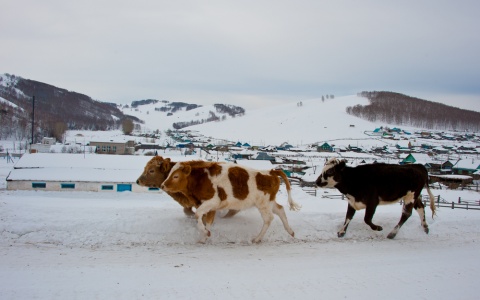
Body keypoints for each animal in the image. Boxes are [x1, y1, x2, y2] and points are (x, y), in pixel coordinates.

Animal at [163, 161, 302, 243]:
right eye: (169, 173)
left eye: (176, 176)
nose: (163, 185)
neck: (201, 178)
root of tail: (271, 172)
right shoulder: (211, 208)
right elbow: (207, 221)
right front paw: (204, 238)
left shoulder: (212, 202)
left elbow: (198, 215)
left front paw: (204, 233)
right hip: (269, 202)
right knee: (280, 210)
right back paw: (290, 231)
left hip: (263, 204)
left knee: (269, 218)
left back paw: (257, 239)